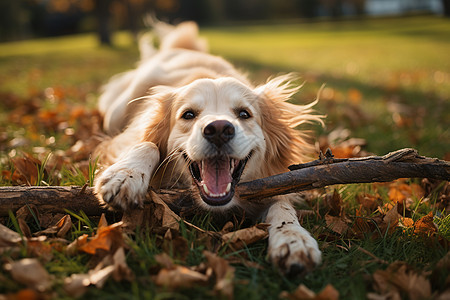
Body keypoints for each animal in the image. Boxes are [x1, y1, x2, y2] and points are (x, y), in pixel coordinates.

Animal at [93, 19, 322, 276]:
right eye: (188, 115)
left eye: (244, 114)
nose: (219, 129)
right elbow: (147, 143)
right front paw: (125, 175)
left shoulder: (273, 182)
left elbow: (281, 204)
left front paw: (293, 238)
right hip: (115, 111)